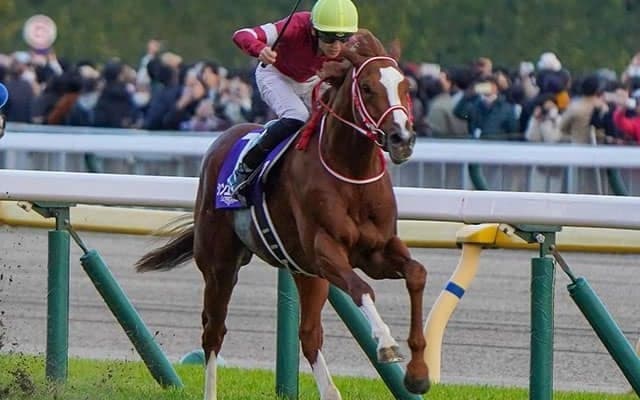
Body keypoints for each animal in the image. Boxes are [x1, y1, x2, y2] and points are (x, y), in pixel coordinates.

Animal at [135, 30, 430, 400]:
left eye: (405, 85)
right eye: (366, 87)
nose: (402, 138)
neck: (351, 173)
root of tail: (225, 137)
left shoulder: (376, 250)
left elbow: (417, 273)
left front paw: (418, 374)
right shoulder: (326, 250)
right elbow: (362, 288)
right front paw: (387, 344)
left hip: (306, 273)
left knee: (309, 335)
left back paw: (331, 391)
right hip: (220, 265)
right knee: (213, 331)